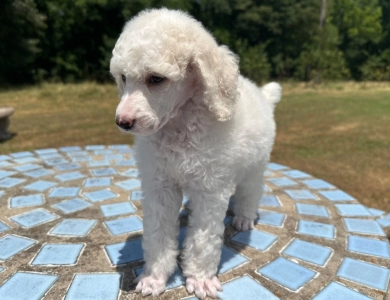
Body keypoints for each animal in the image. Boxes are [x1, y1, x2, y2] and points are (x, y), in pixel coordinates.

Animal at [109, 8, 280, 298]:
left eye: (156, 79)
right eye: (123, 78)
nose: (123, 122)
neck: (179, 125)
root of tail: (262, 95)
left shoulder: (210, 190)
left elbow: (203, 239)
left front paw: (200, 279)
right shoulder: (160, 186)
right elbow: (157, 233)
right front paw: (154, 277)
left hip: (255, 166)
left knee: (250, 191)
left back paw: (244, 218)